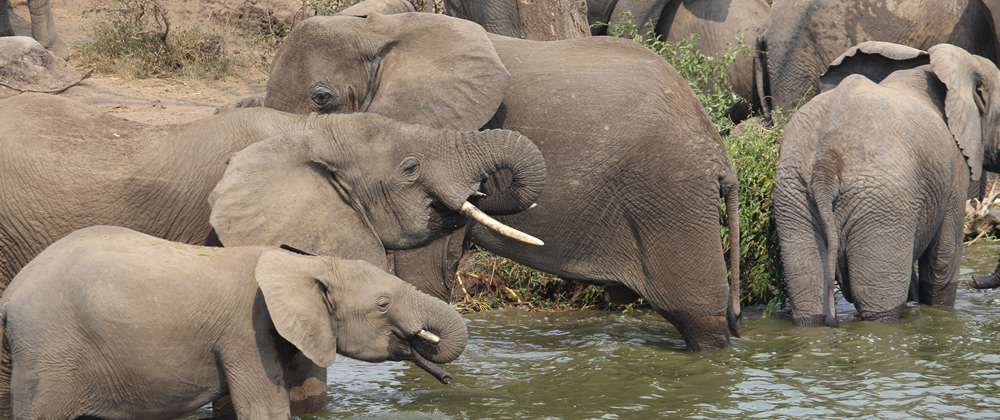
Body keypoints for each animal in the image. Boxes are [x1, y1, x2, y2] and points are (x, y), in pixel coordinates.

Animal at [0, 226, 466, 420]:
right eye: (383, 304)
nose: (447, 380)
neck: (305, 263)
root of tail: (9, 296)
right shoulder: (247, 332)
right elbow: (264, 410)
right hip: (51, 352)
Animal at [258, 12, 744, 352]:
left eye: (322, 98)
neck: (378, 29)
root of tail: (721, 153)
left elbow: (424, 270)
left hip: (672, 195)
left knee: (699, 314)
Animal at [772, 41, 1000, 324]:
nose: (974, 280)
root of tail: (826, 159)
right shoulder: (954, 168)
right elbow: (944, 259)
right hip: (882, 204)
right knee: (881, 307)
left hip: (793, 192)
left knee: (809, 296)